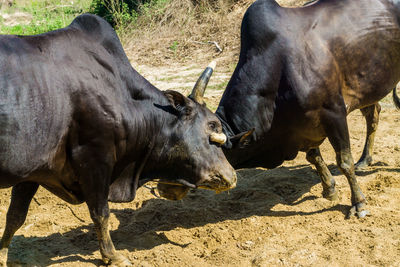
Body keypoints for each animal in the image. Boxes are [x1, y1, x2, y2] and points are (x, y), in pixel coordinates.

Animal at [0, 14, 236, 266]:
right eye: (211, 126)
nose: (231, 176)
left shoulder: (32, 172)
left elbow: (15, 216)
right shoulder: (95, 159)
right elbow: (101, 213)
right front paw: (112, 256)